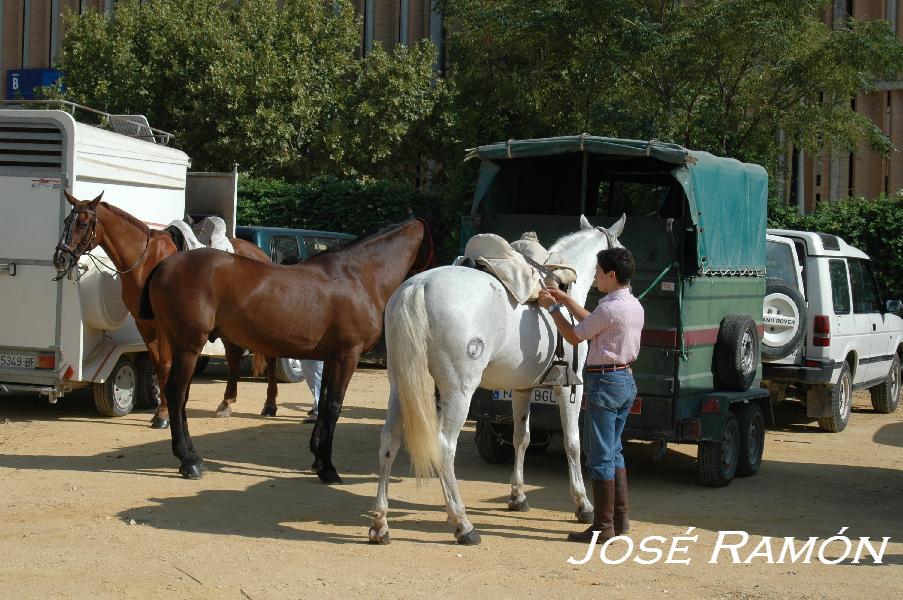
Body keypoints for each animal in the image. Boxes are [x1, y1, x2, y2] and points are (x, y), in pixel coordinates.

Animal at [53, 192, 278, 426]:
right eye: (66, 221)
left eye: (83, 224)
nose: (60, 258)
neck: (145, 262)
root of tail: (261, 255)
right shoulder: (144, 326)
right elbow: (158, 366)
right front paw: (163, 412)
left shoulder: (162, 327)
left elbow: (164, 366)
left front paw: (162, 415)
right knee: (233, 355)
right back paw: (226, 403)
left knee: (270, 357)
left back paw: (270, 405)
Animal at [143, 218, 432, 480]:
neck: (357, 276)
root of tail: (164, 266)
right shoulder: (347, 356)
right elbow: (334, 406)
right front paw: (328, 468)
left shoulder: (331, 358)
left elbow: (324, 403)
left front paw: (318, 459)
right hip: (188, 347)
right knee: (177, 394)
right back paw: (189, 461)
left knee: (178, 396)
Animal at [370, 214, 624, 544]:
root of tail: (418, 287)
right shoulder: (568, 387)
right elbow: (572, 443)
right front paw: (583, 505)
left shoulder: (522, 388)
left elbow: (521, 437)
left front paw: (518, 497)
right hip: (458, 392)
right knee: (444, 447)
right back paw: (463, 524)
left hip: (399, 386)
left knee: (389, 441)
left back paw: (380, 524)